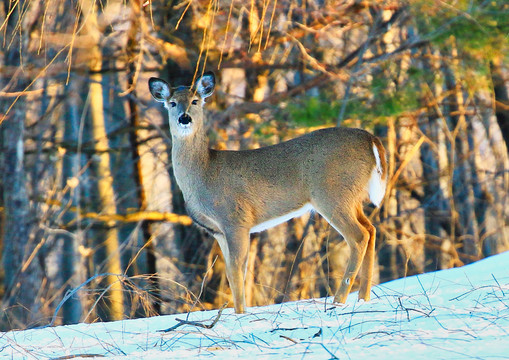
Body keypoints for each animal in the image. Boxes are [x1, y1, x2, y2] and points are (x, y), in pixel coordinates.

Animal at [149, 71, 386, 314]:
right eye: (172, 103)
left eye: (195, 101)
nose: (184, 118)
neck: (204, 172)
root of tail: (371, 140)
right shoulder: (218, 231)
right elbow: (231, 273)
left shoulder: (236, 220)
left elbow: (237, 271)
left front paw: (241, 313)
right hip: (351, 196)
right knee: (371, 229)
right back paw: (363, 298)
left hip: (332, 194)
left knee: (359, 236)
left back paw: (339, 300)